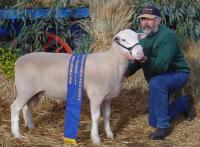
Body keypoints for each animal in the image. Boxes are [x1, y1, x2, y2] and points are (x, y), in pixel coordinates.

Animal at [10, 28, 145, 144]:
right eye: (123, 40)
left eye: (137, 38)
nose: (140, 53)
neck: (112, 62)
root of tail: (18, 61)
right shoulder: (96, 96)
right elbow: (96, 117)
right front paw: (95, 138)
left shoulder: (108, 98)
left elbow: (107, 115)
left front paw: (110, 134)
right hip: (24, 89)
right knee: (15, 108)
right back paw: (17, 134)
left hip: (33, 92)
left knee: (27, 108)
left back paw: (30, 126)